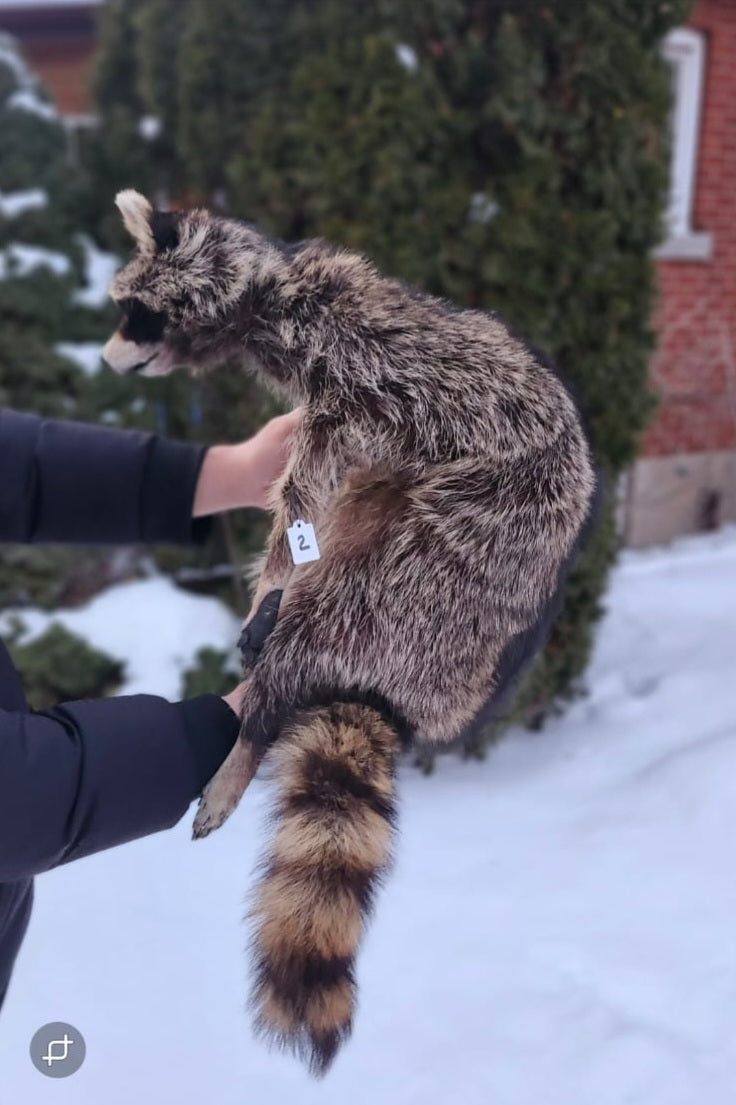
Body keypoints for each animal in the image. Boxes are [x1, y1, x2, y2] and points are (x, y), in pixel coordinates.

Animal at [103, 190, 595, 1074]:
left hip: (457, 551)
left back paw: (251, 727)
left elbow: (303, 493)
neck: (269, 286)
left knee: (323, 617)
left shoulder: (362, 384)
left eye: (137, 314)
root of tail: (398, 688)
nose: (107, 356)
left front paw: (274, 571)